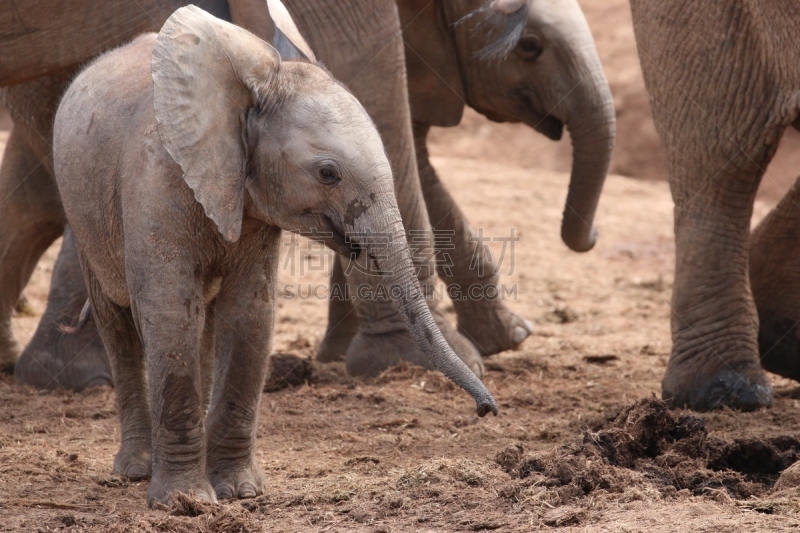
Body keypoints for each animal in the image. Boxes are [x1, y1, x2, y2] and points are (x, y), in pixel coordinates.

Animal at [53, 4, 496, 504]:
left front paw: (240, 492)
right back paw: (135, 470)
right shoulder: (157, 184)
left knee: (205, 325)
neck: (248, 96)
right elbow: (170, 313)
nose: (487, 410)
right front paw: (185, 502)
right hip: (82, 211)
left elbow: (250, 313)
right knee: (118, 324)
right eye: (328, 173)